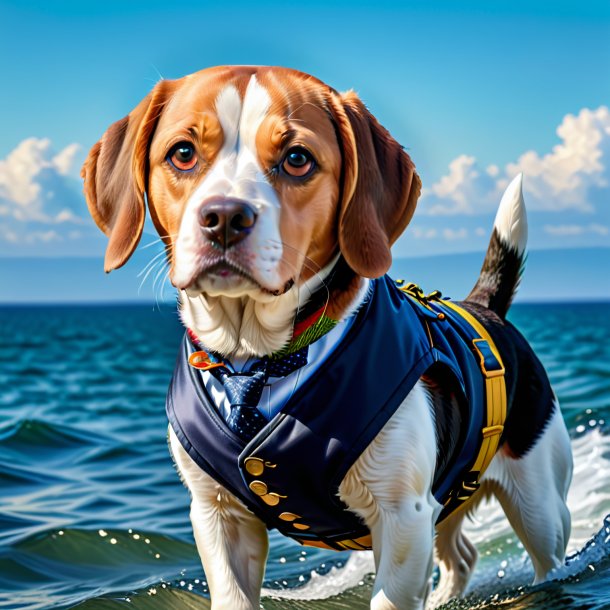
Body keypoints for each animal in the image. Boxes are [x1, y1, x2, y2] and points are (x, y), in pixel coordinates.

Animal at [83, 66, 572, 608]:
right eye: (182, 153)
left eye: (297, 159)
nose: (225, 217)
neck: (256, 359)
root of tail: (483, 306)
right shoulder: (217, 516)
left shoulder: (402, 517)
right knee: (461, 556)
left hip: (538, 504)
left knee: (549, 555)